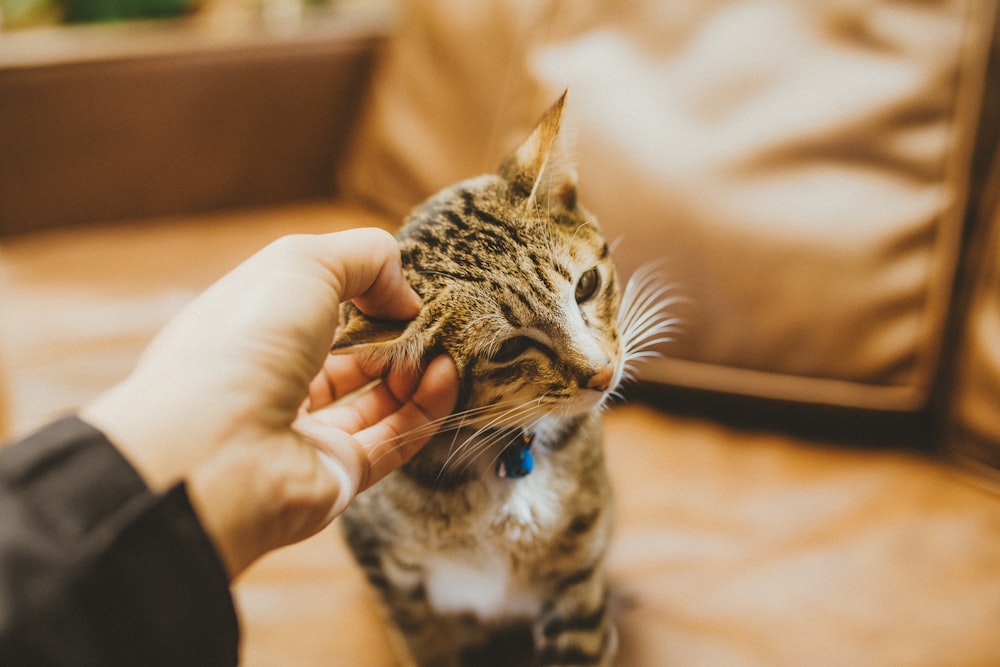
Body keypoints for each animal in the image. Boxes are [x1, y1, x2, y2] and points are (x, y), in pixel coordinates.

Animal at [332, 94, 676, 667]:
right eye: (511, 348)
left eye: (586, 284)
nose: (603, 371)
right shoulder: (385, 566)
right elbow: (424, 641)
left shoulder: (578, 571)